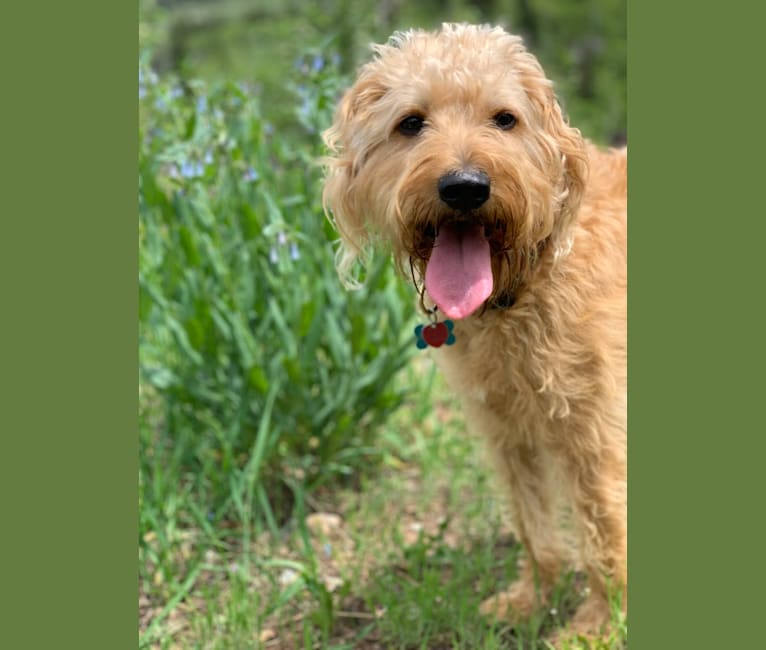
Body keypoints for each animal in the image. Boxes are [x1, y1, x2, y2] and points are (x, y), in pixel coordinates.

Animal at [320, 24, 628, 636]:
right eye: (411, 122)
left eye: (504, 119)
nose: (465, 187)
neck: (525, 284)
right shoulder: (504, 427)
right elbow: (532, 521)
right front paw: (532, 598)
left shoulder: (594, 430)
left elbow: (603, 524)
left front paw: (599, 627)